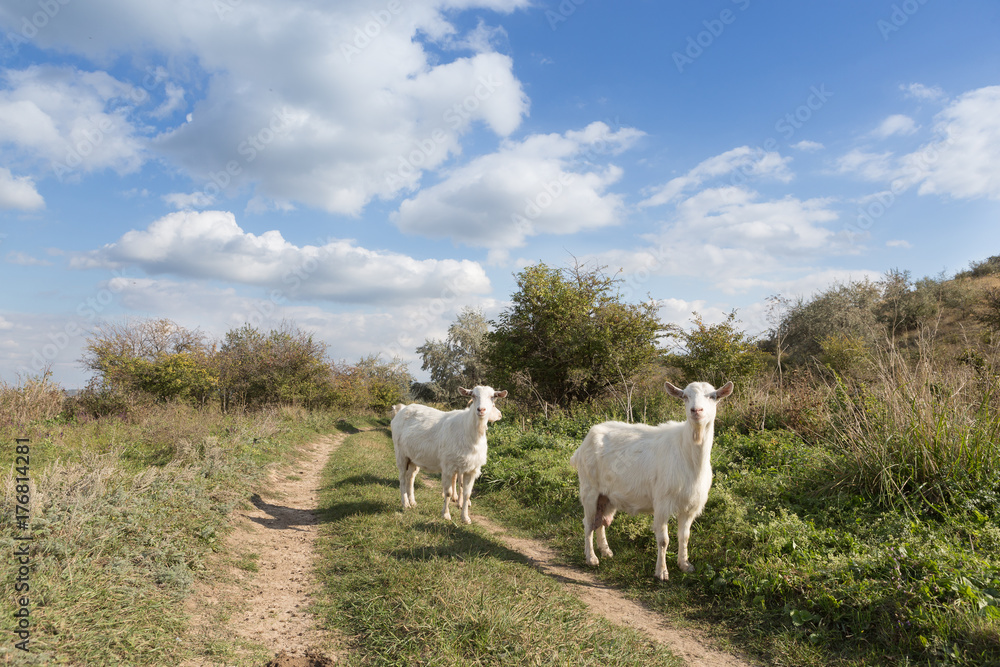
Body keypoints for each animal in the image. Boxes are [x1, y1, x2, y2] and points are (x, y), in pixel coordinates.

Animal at [391, 386, 507, 524]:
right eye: (473, 396)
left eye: (492, 397)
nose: (481, 410)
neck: (469, 432)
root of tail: (402, 409)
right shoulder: (448, 466)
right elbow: (448, 493)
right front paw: (446, 514)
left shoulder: (471, 469)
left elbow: (467, 494)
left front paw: (465, 518)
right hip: (401, 454)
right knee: (402, 478)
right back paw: (405, 504)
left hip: (413, 457)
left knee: (410, 477)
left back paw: (413, 502)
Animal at [570, 381, 733, 580]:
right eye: (685, 396)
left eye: (713, 396)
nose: (696, 410)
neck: (689, 454)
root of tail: (584, 443)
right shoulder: (662, 502)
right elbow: (663, 540)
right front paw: (661, 572)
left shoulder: (690, 506)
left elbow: (684, 536)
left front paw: (685, 565)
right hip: (589, 488)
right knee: (588, 522)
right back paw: (591, 557)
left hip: (607, 495)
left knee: (600, 521)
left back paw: (606, 551)